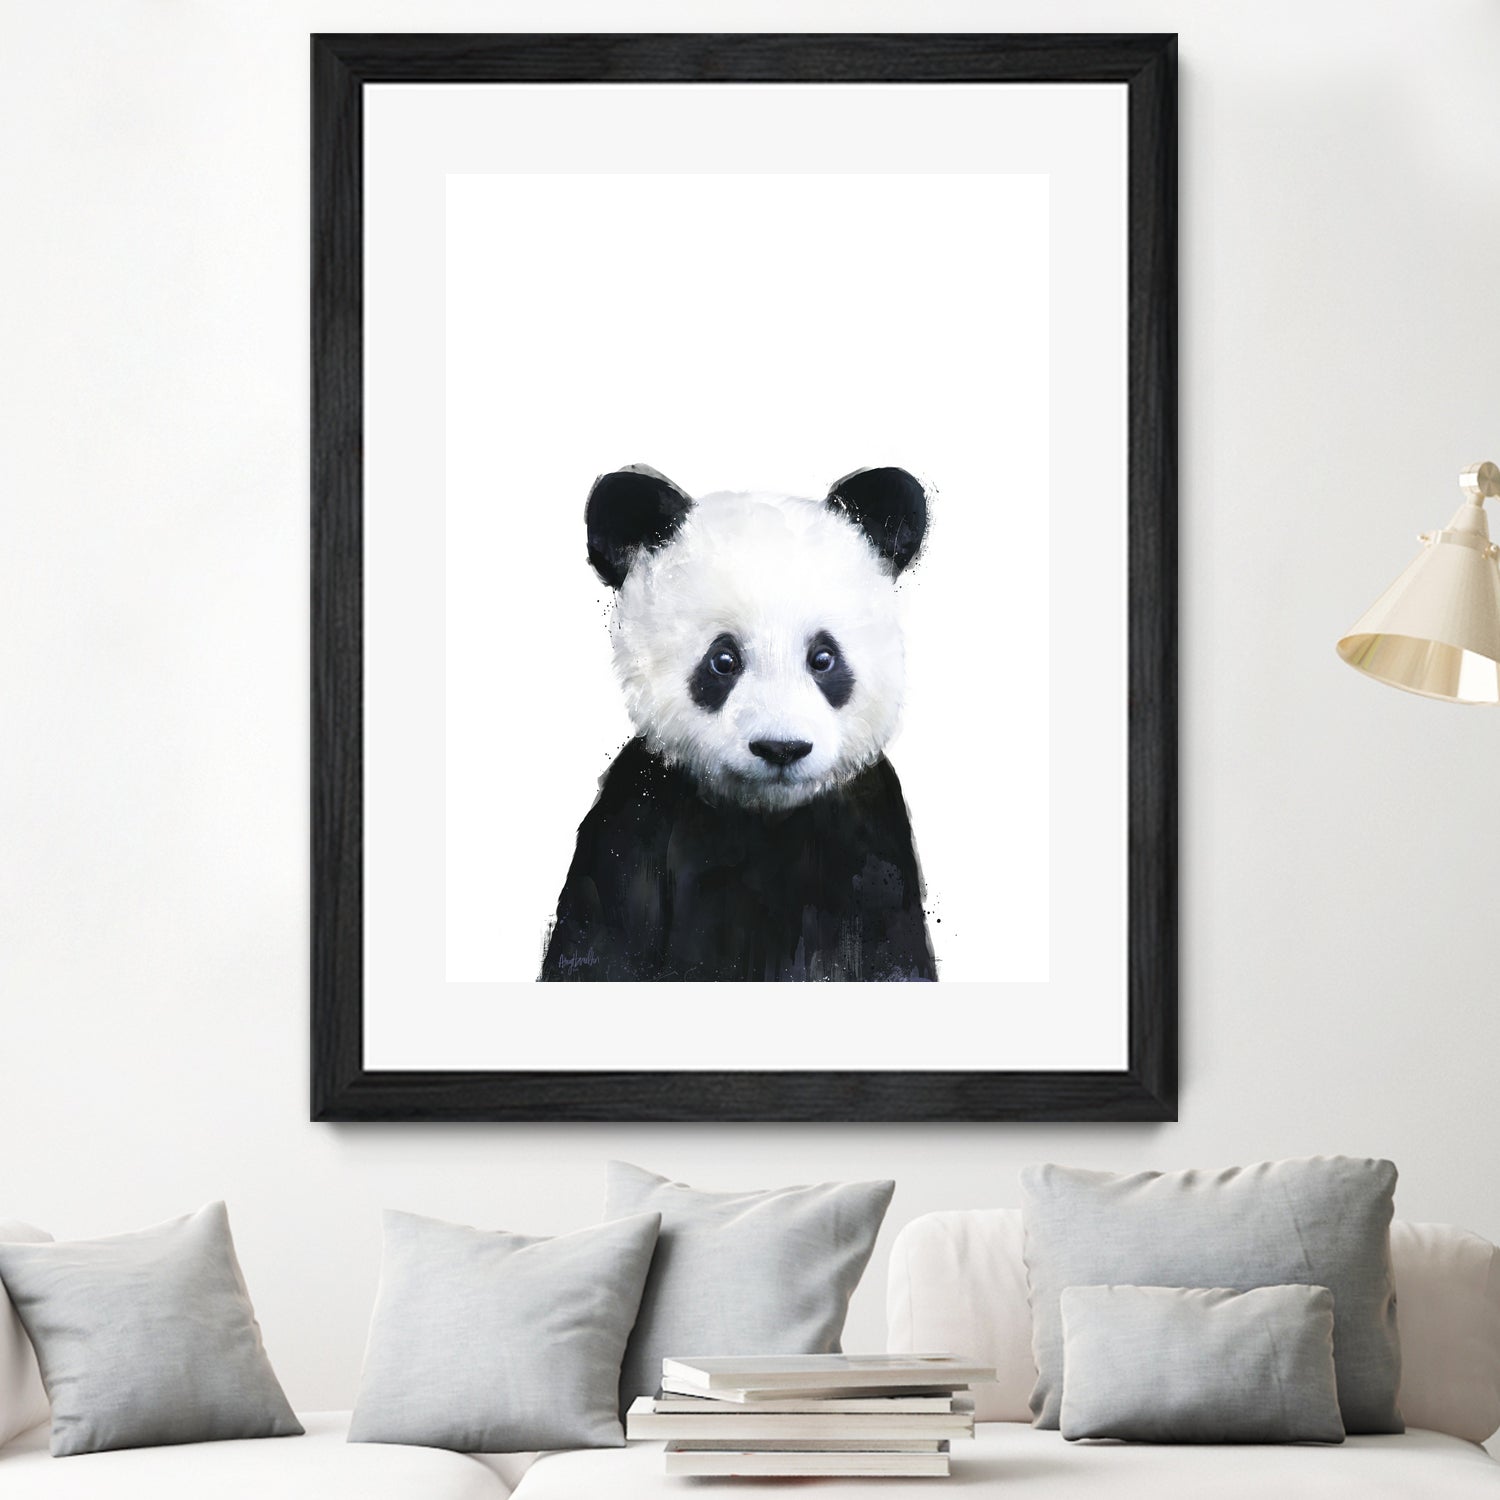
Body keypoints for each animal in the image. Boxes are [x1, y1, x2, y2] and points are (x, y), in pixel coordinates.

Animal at [540, 464, 937, 983]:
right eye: (723, 660)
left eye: (823, 658)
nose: (781, 748)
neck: (765, 814)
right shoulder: (635, 821)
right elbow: (599, 944)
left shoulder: (870, 837)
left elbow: (893, 953)